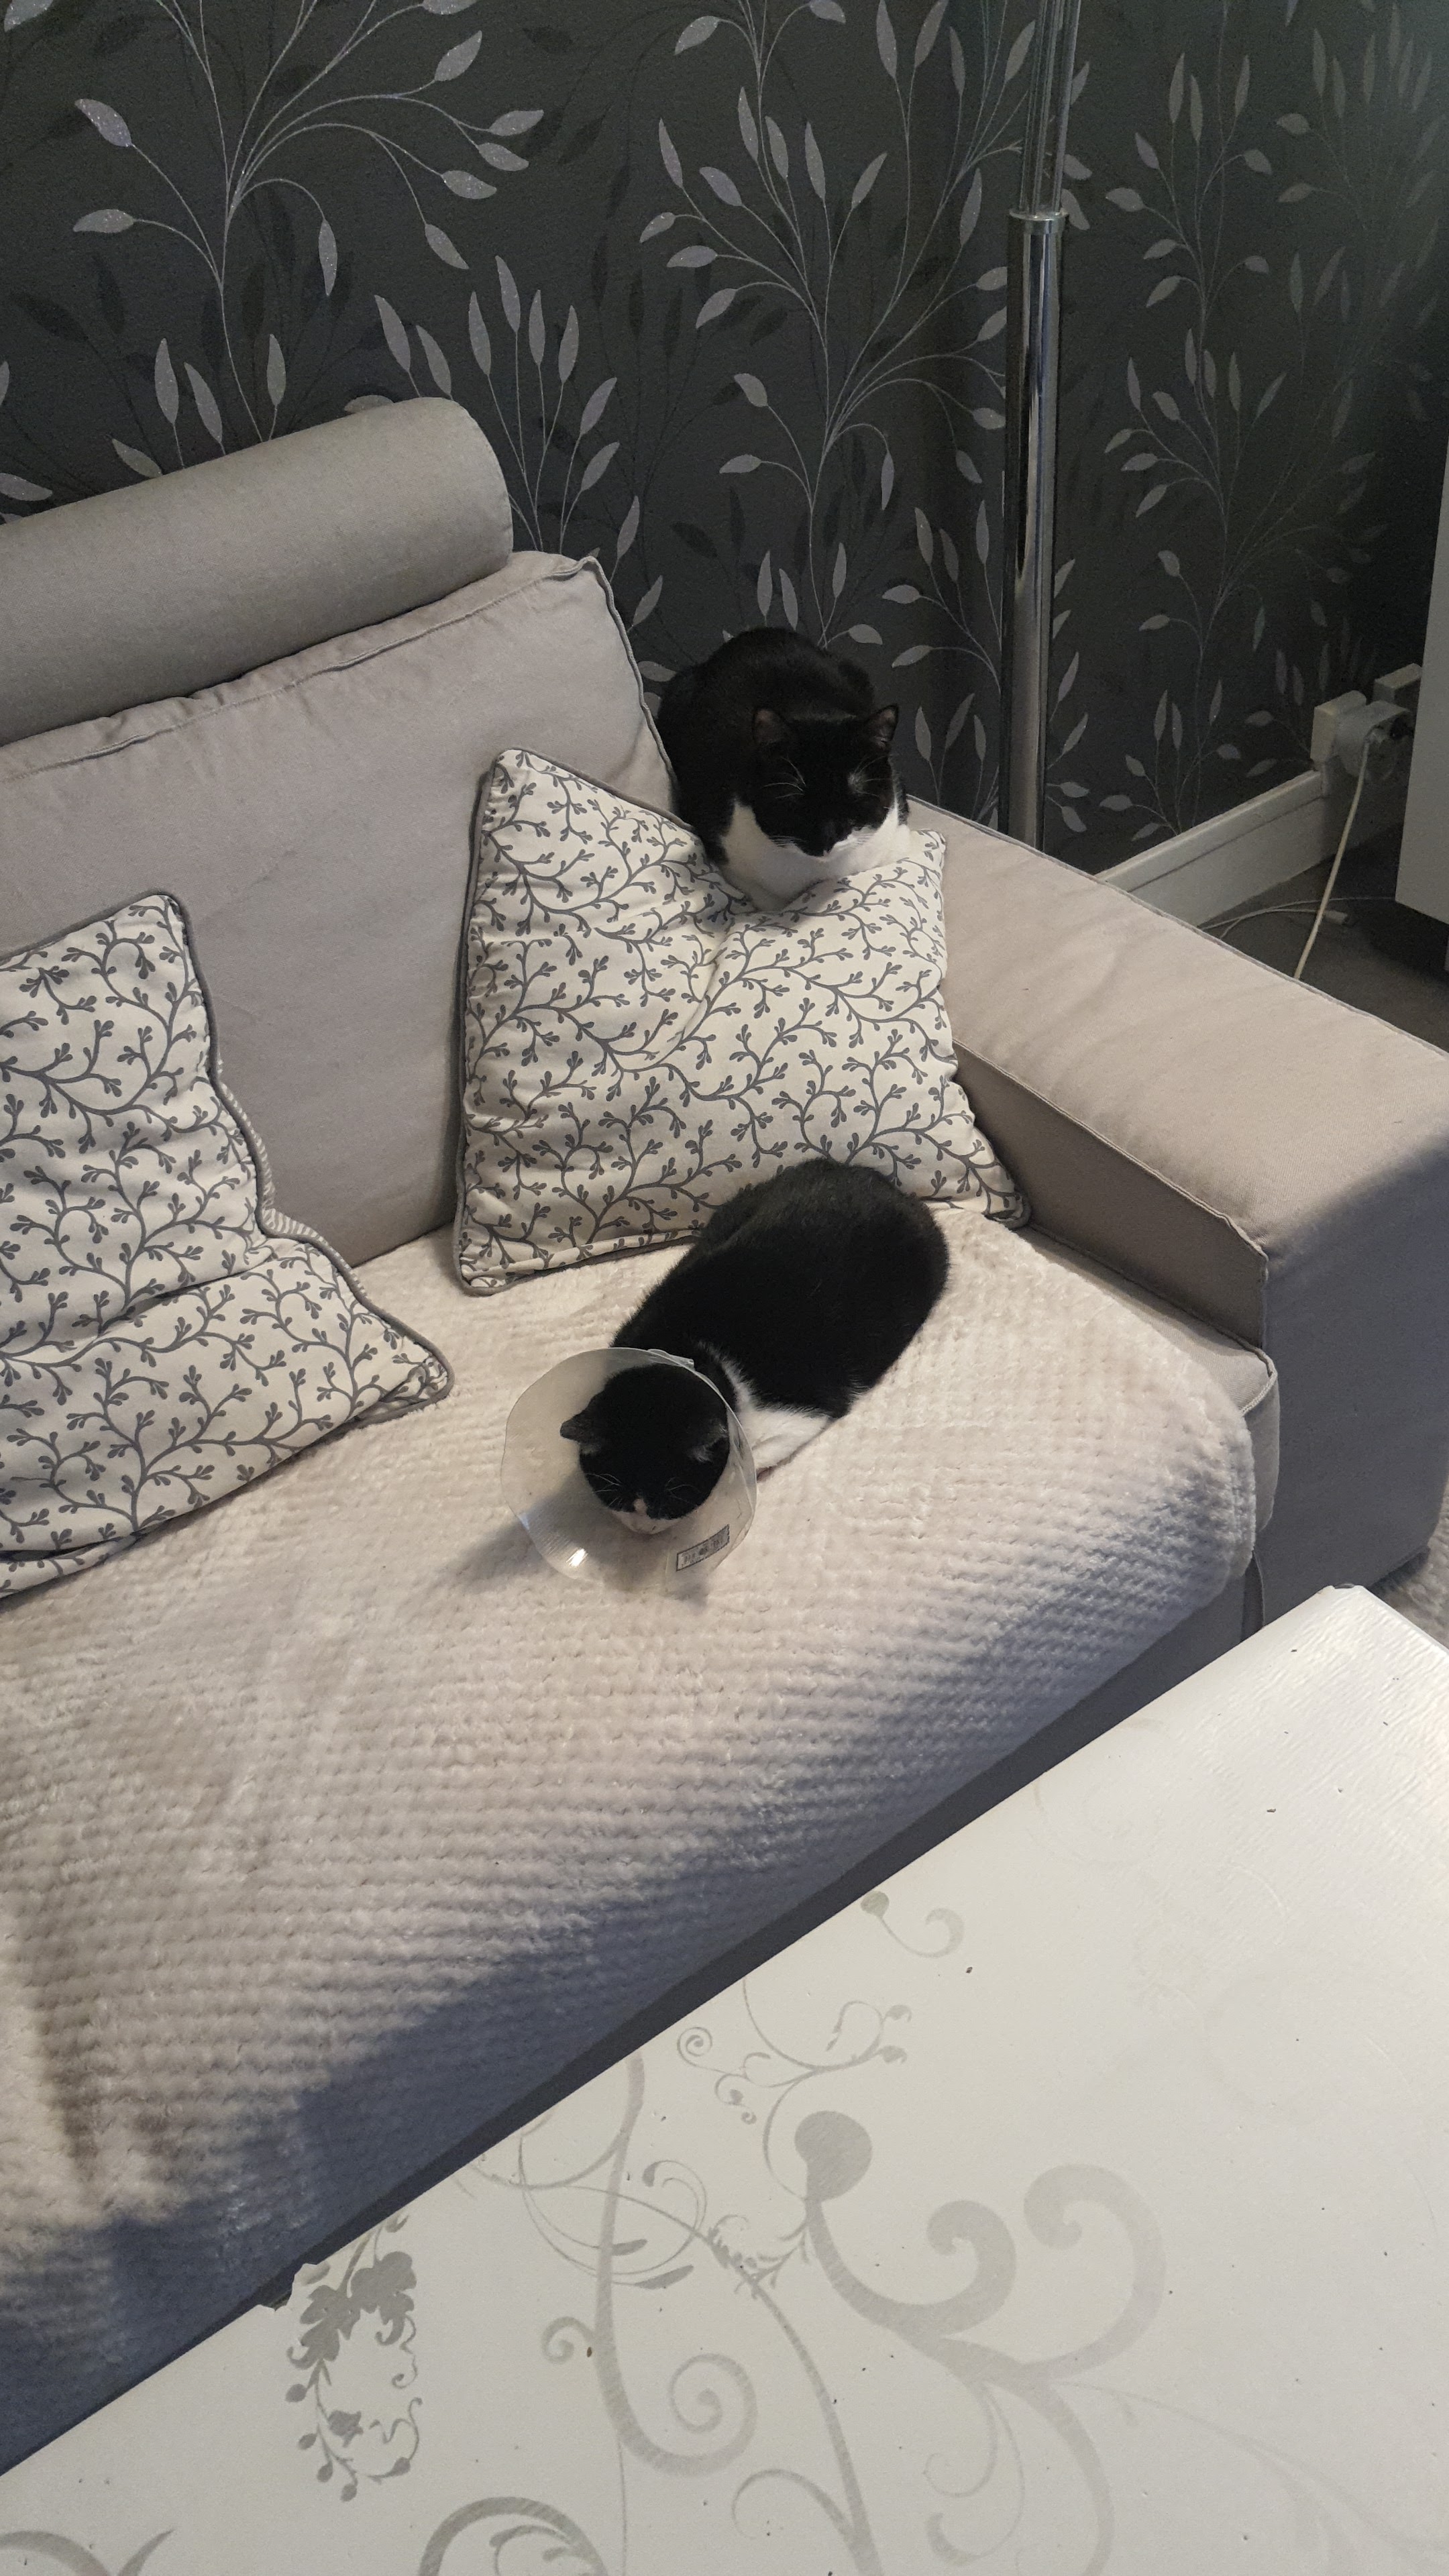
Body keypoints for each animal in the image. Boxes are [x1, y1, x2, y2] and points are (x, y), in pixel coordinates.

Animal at [559, 1158, 948, 1535]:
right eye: (615, 1498)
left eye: (671, 1501)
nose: (642, 1529)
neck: (686, 1348)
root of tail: (881, 1182)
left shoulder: (796, 1416)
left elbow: (749, 1461)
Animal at [657, 629, 912, 909]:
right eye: (794, 800)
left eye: (854, 797)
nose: (826, 840)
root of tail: (754, 634)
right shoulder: (732, 861)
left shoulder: (896, 836)